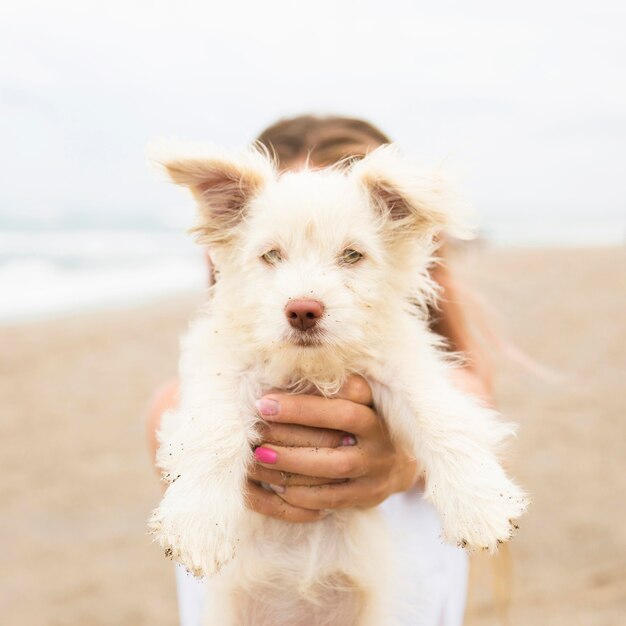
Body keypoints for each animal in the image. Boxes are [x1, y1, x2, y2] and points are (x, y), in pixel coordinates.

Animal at [150, 145, 528, 624]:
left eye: (351, 256)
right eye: (271, 255)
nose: (302, 310)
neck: (310, 369)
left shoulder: (401, 365)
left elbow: (441, 416)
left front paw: (479, 505)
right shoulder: (224, 367)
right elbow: (212, 430)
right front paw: (198, 524)